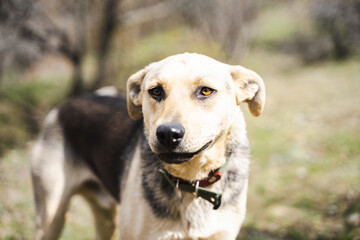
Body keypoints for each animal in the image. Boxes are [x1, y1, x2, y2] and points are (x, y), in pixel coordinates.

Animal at [31, 53, 266, 240]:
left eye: (206, 91)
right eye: (156, 91)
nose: (168, 134)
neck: (191, 182)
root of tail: (62, 106)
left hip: (105, 217)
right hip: (50, 217)